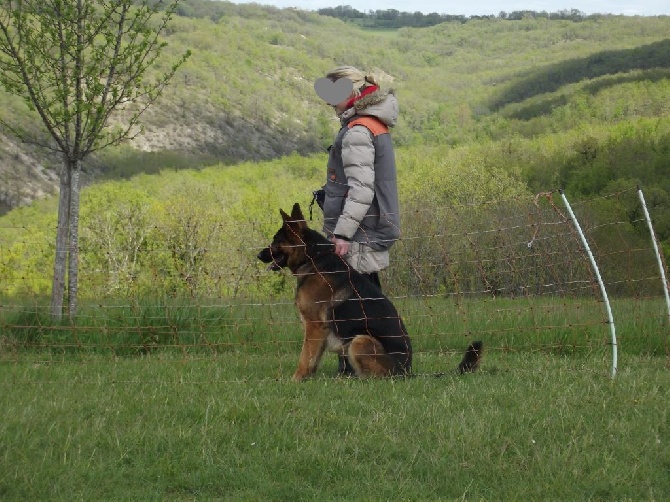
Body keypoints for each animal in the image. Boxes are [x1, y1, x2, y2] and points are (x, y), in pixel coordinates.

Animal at [258, 204, 484, 380]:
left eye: (275, 241)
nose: (258, 255)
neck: (313, 258)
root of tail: (407, 371)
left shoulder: (314, 326)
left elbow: (305, 357)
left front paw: (296, 379)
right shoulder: (318, 331)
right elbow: (313, 359)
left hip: (359, 341)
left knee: (378, 377)